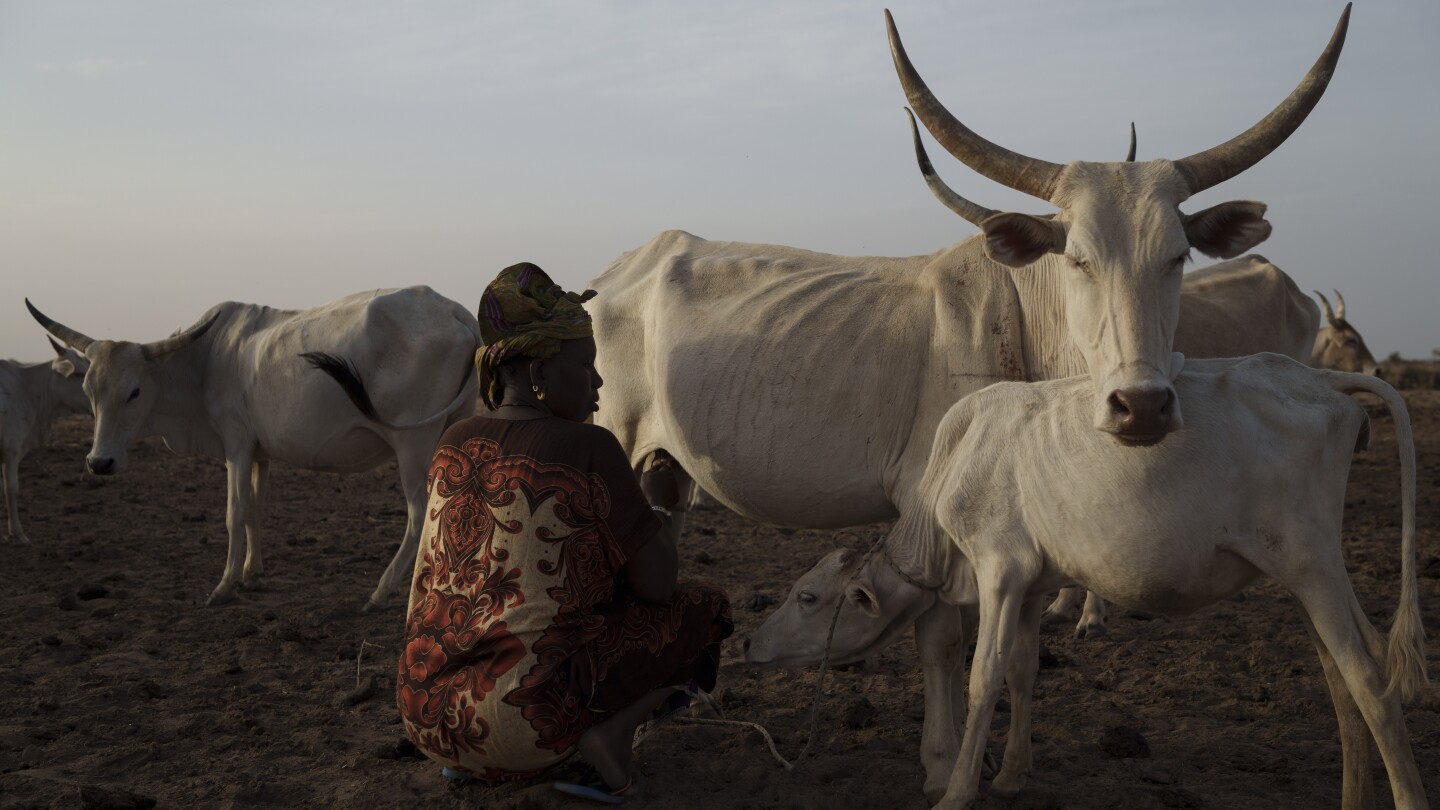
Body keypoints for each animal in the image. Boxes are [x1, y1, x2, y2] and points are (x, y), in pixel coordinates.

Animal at [26, 286, 478, 608]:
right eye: (88, 389)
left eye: (134, 392)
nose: (99, 462)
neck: (205, 361)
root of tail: (458, 313)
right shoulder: (260, 456)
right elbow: (256, 510)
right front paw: (252, 573)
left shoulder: (237, 448)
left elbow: (235, 513)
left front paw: (225, 585)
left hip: (412, 444)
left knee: (420, 513)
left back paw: (382, 591)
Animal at [587, 7, 1347, 795]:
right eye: (1077, 256)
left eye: (1178, 255)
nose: (1141, 406)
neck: (1026, 329)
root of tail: (617, 271)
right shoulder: (929, 505)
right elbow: (944, 640)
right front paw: (943, 760)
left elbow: (1018, 653)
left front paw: (1000, 764)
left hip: (668, 478)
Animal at [748, 353, 1422, 807]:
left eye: (807, 596)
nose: (751, 645)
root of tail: (1320, 377)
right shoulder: (1032, 584)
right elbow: (1021, 672)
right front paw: (1011, 775)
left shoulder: (999, 570)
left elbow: (982, 677)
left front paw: (959, 791)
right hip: (1302, 575)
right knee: (1342, 675)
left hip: (1313, 561)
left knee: (1369, 675)